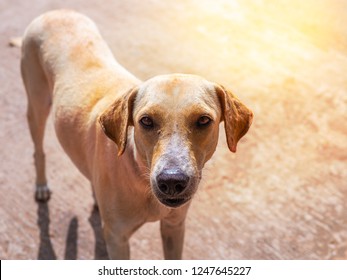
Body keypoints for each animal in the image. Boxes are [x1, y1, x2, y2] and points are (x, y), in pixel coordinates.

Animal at [20, 10, 253, 260]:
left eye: (203, 120)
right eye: (146, 121)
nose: (171, 181)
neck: (139, 173)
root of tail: (56, 12)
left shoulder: (174, 226)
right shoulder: (117, 239)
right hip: (36, 105)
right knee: (38, 149)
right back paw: (41, 185)